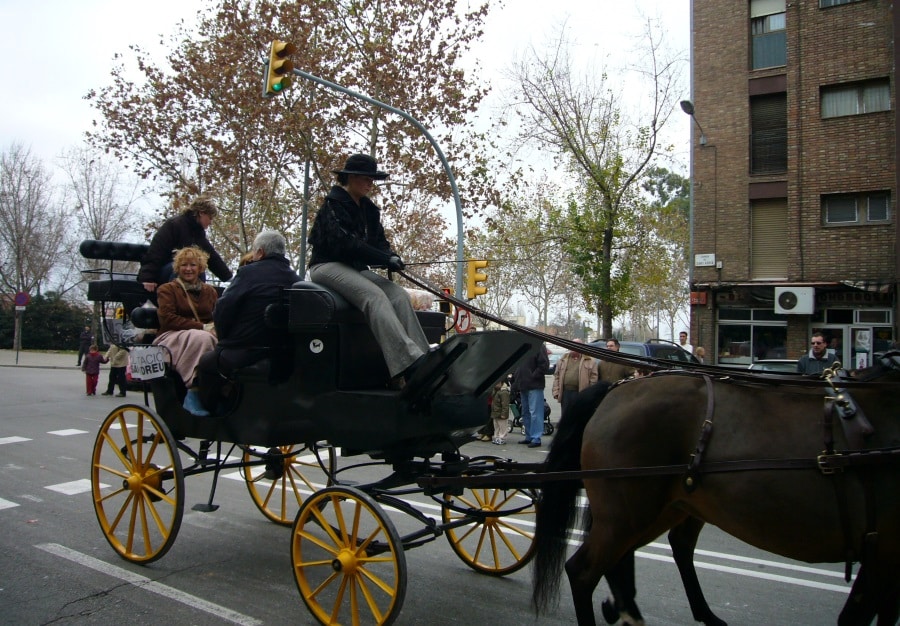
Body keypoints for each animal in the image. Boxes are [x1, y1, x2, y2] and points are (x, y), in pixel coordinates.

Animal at [532, 358, 900, 620]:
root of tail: (616, 388)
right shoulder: (883, 552)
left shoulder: (880, 553)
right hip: (627, 515)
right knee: (582, 572)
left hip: (660, 509)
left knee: (647, 552)